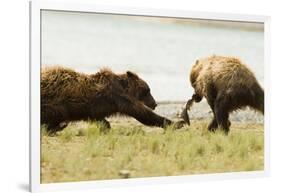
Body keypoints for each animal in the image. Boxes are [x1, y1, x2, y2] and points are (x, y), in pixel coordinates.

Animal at [40, 65, 175, 133]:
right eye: (148, 90)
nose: (155, 103)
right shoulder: (120, 99)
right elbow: (143, 114)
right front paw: (175, 123)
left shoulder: (96, 110)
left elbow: (101, 120)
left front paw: (106, 128)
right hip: (56, 102)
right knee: (56, 114)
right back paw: (56, 127)